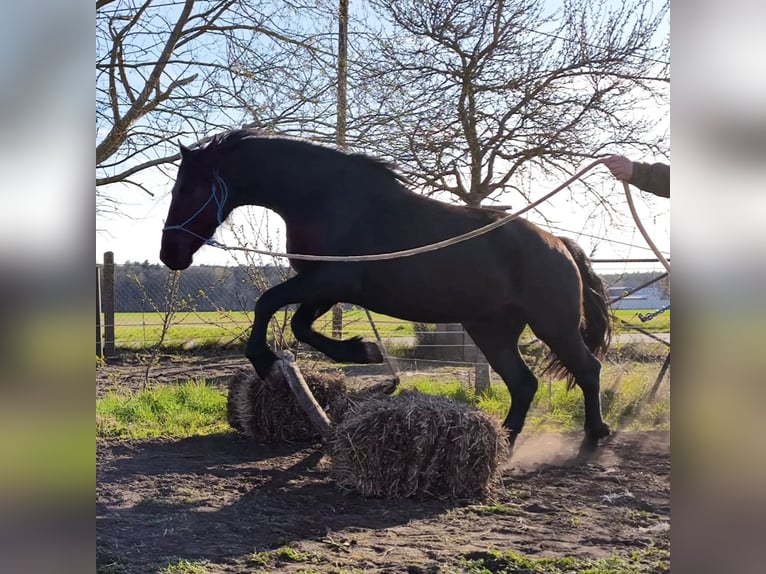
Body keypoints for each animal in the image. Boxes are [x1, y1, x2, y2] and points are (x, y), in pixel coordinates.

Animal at [159, 128, 612, 450]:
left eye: (187, 189)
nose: (169, 253)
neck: (323, 198)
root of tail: (560, 245)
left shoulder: (329, 281)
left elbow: (267, 303)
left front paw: (267, 361)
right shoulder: (324, 289)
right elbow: (300, 326)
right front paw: (363, 351)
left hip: (553, 325)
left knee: (587, 369)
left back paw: (596, 432)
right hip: (492, 331)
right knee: (524, 383)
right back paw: (506, 439)